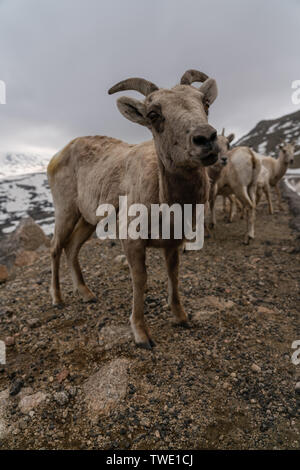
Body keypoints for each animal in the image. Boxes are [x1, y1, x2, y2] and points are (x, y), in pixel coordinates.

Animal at [48, 69, 219, 348]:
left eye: (205, 103)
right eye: (154, 114)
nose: (205, 138)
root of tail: (57, 156)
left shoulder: (173, 243)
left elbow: (173, 275)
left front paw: (181, 318)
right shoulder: (132, 241)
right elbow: (140, 281)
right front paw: (142, 335)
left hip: (88, 220)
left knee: (72, 248)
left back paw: (87, 294)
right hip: (66, 211)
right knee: (55, 248)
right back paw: (58, 299)